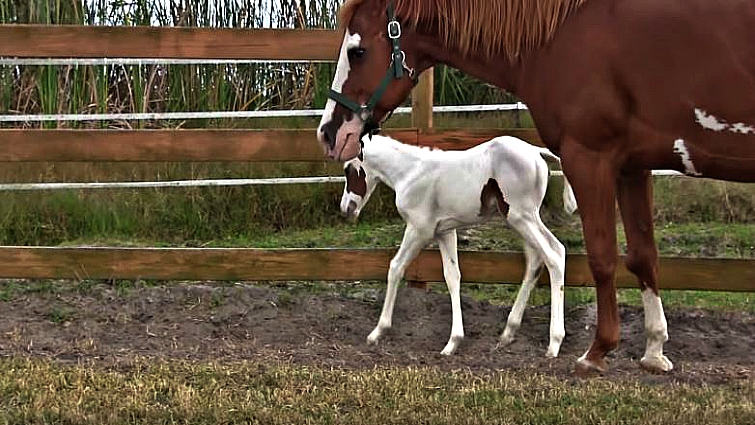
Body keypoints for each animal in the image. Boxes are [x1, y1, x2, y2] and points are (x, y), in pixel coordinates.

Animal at [340, 134, 576, 356]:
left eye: (349, 169)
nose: (346, 209)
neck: (410, 172)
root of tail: (536, 151)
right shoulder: (445, 231)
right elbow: (452, 276)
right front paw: (453, 342)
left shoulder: (419, 230)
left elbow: (396, 267)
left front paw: (377, 332)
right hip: (521, 220)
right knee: (537, 261)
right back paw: (508, 332)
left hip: (522, 217)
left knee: (554, 255)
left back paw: (554, 342)